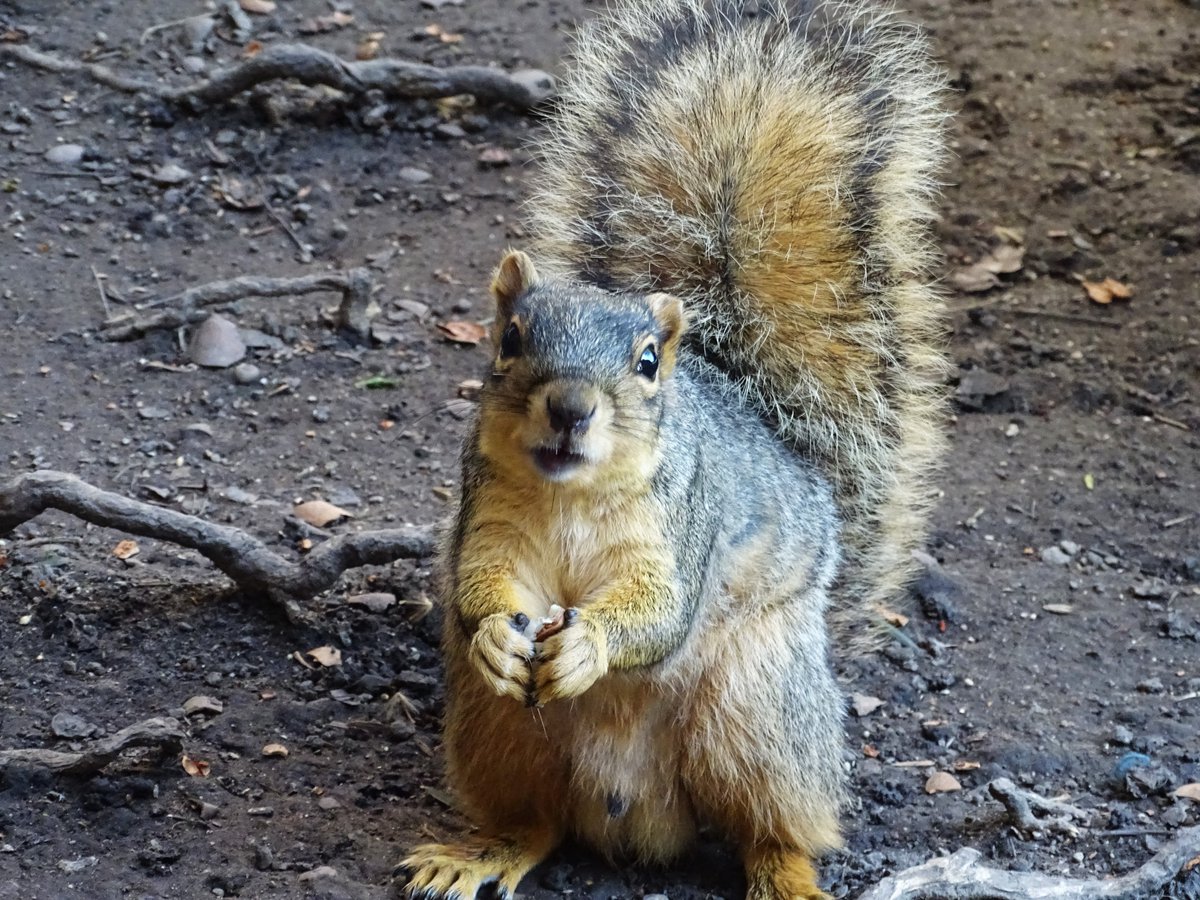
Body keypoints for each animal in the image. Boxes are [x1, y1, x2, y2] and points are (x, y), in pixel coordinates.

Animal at [400, 1, 946, 899]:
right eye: (510, 340)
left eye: (648, 364)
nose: (571, 409)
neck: (571, 495)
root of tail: (637, 817)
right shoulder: (489, 510)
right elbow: (483, 583)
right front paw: (494, 635)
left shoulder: (685, 521)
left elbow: (660, 612)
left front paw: (591, 642)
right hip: (495, 730)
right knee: (535, 819)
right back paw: (481, 852)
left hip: (757, 709)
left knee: (773, 826)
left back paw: (787, 873)